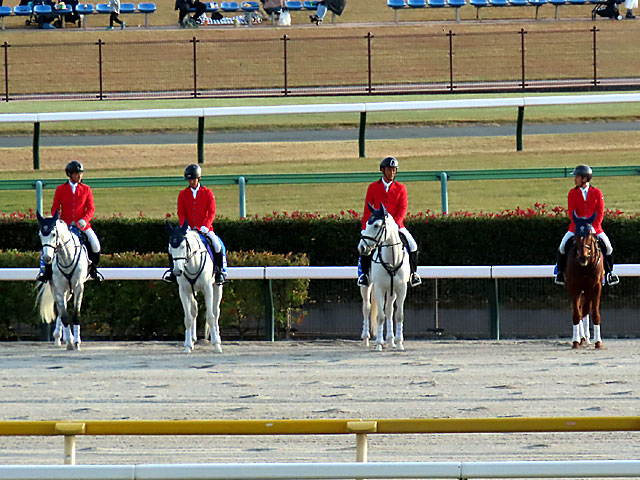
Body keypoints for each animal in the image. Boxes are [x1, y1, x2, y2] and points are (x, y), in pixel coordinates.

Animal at [35, 211, 90, 351]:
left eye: (53, 234)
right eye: (40, 235)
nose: (47, 258)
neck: (66, 258)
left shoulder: (78, 287)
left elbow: (76, 315)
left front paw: (76, 343)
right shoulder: (59, 289)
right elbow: (64, 316)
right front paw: (70, 342)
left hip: (69, 291)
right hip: (60, 290)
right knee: (61, 310)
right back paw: (59, 337)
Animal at [166, 221, 223, 354]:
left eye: (183, 246)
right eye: (171, 248)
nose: (177, 271)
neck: (192, 263)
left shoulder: (208, 288)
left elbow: (210, 316)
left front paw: (216, 346)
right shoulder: (183, 290)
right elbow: (188, 318)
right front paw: (187, 346)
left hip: (217, 288)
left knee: (215, 312)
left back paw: (217, 338)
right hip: (192, 292)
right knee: (194, 312)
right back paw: (192, 339)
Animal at [357, 203, 410, 351]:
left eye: (376, 225)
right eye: (367, 223)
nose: (361, 248)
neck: (392, 259)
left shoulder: (401, 289)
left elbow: (399, 315)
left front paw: (399, 343)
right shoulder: (379, 288)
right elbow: (380, 316)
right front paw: (379, 344)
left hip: (391, 291)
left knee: (389, 310)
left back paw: (391, 340)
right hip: (366, 287)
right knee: (367, 308)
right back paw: (366, 339)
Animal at [565, 211, 605, 349]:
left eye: (590, 235)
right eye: (576, 236)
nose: (583, 257)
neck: (585, 266)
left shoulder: (596, 288)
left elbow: (595, 314)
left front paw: (598, 342)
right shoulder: (574, 287)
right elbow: (576, 314)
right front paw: (575, 341)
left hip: (587, 291)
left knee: (586, 310)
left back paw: (585, 338)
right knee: (581, 310)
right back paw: (581, 338)